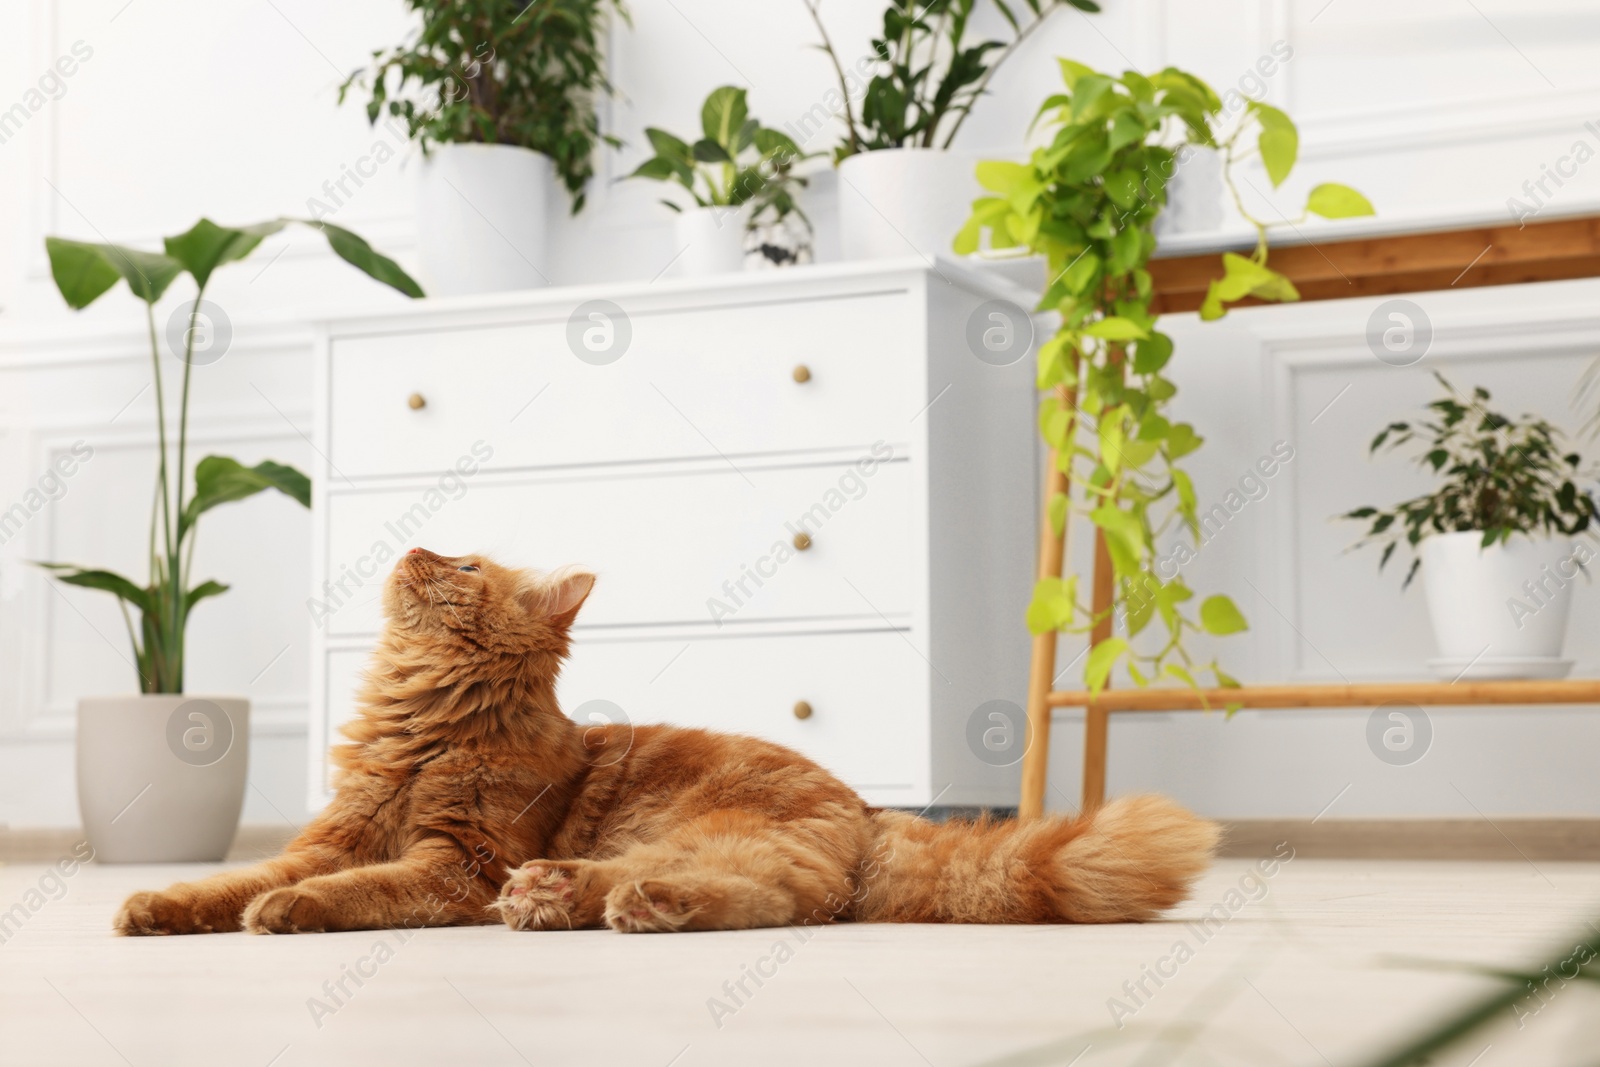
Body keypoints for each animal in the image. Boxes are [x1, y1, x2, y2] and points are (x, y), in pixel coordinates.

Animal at [118, 550, 1216, 934]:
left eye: (463, 566)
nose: (412, 547)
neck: (427, 733)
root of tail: (867, 808)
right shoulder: (331, 834)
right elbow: (230, 881)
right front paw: (160, 903)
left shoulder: (454, 862)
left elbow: (349, 889)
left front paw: (285, 911)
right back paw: (556, 901)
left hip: (688, 832)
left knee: (770, 900)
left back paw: (619, 903)